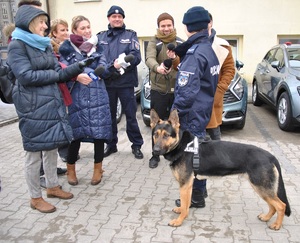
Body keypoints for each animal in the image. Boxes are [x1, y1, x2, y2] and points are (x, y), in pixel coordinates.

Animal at [150, 109, 290, 231]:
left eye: (166, 135)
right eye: (155, 135)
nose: (155, 151)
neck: (181, 146)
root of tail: (270, 156)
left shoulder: (185, 185)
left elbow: (185, 205)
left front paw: (179, 221)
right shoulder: (188, 185)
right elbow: (186, 203)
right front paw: (180, 211)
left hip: (261, 186)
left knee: (281, 206)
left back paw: (277, 225)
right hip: (262, 188)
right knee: (273, 205)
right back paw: (266, 217)